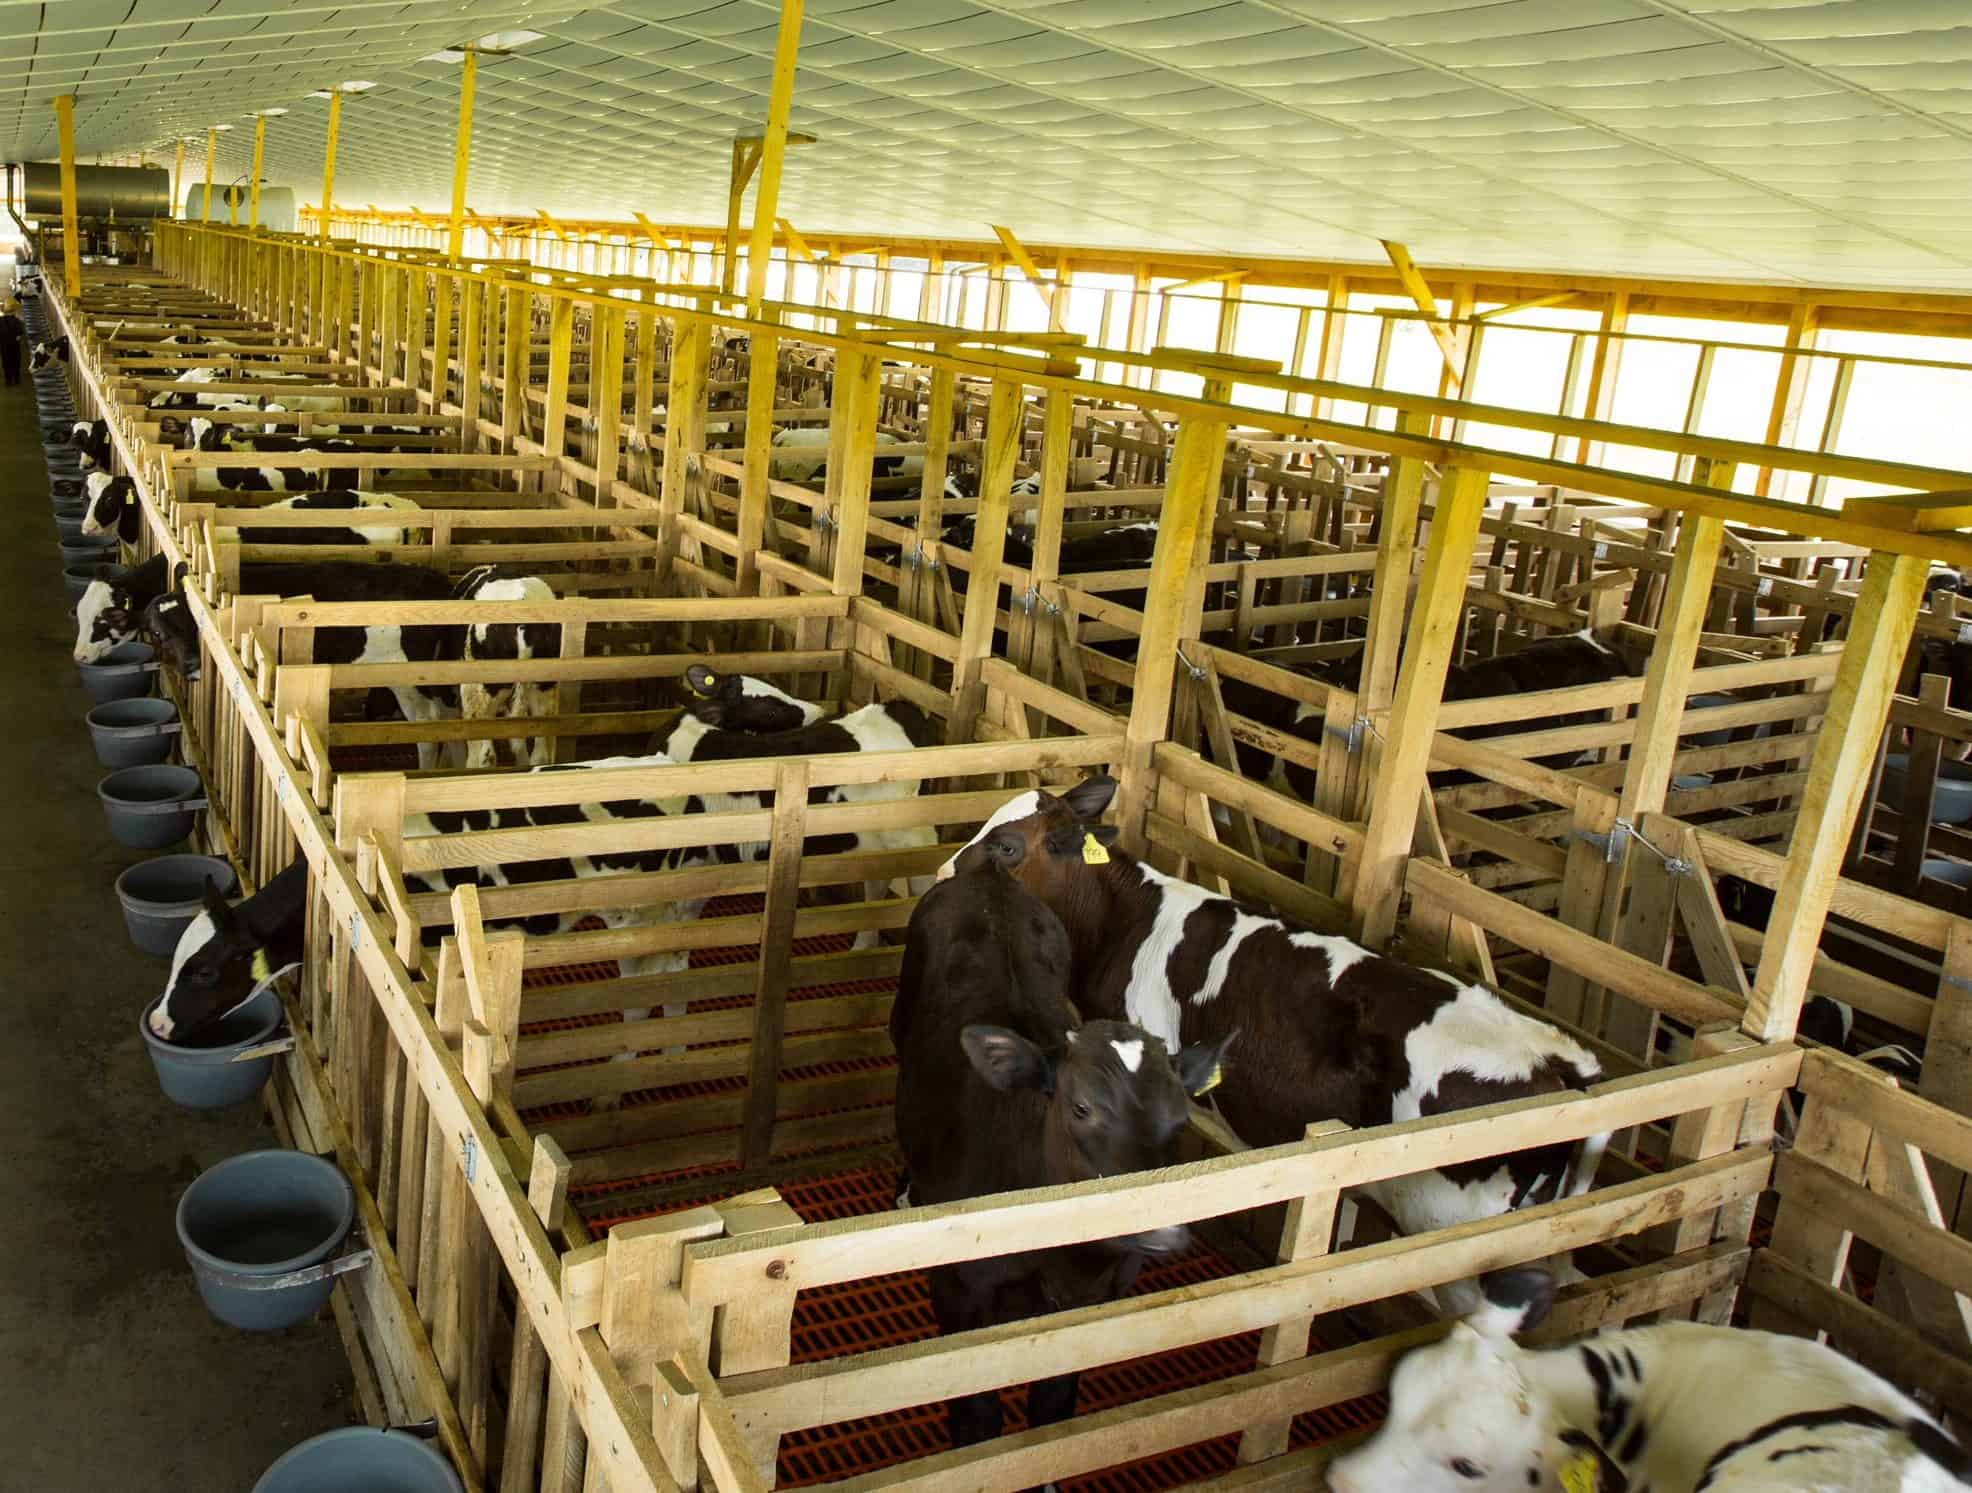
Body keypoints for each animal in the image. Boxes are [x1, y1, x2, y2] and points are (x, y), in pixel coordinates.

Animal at [887, 863, 1222, 1459]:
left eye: (1181, 1115)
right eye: (1081, 1106)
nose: (1163, 1229)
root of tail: (990, 874)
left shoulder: (1096, 1301)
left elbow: (1053, 1406)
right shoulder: (957, 1293)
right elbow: (978, 1416)